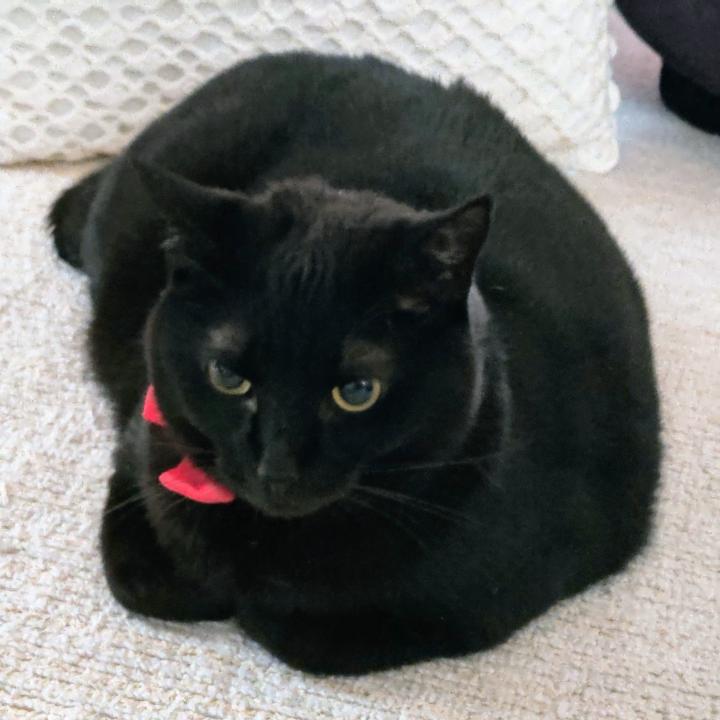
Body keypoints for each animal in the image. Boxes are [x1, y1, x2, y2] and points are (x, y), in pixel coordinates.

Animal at [50, 52, 661, 675]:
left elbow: (295, 630)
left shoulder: (481, 600)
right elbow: (143, 581)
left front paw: (254, 603)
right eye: (228, 376)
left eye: (358, 391)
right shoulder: (140, 450)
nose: (277, 469)